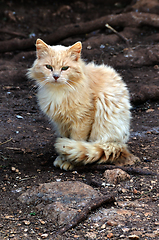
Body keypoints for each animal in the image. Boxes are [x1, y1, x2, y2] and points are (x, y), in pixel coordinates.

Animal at [27, 38, 137, 171]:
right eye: (49, 67)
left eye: (65, 68)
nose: (56, 76)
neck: (59, 92)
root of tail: (121, 144)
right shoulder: (61, 123)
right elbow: (65, 141)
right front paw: (62, 157)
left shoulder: (82, 119)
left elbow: (75, 142)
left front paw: (70, 162)